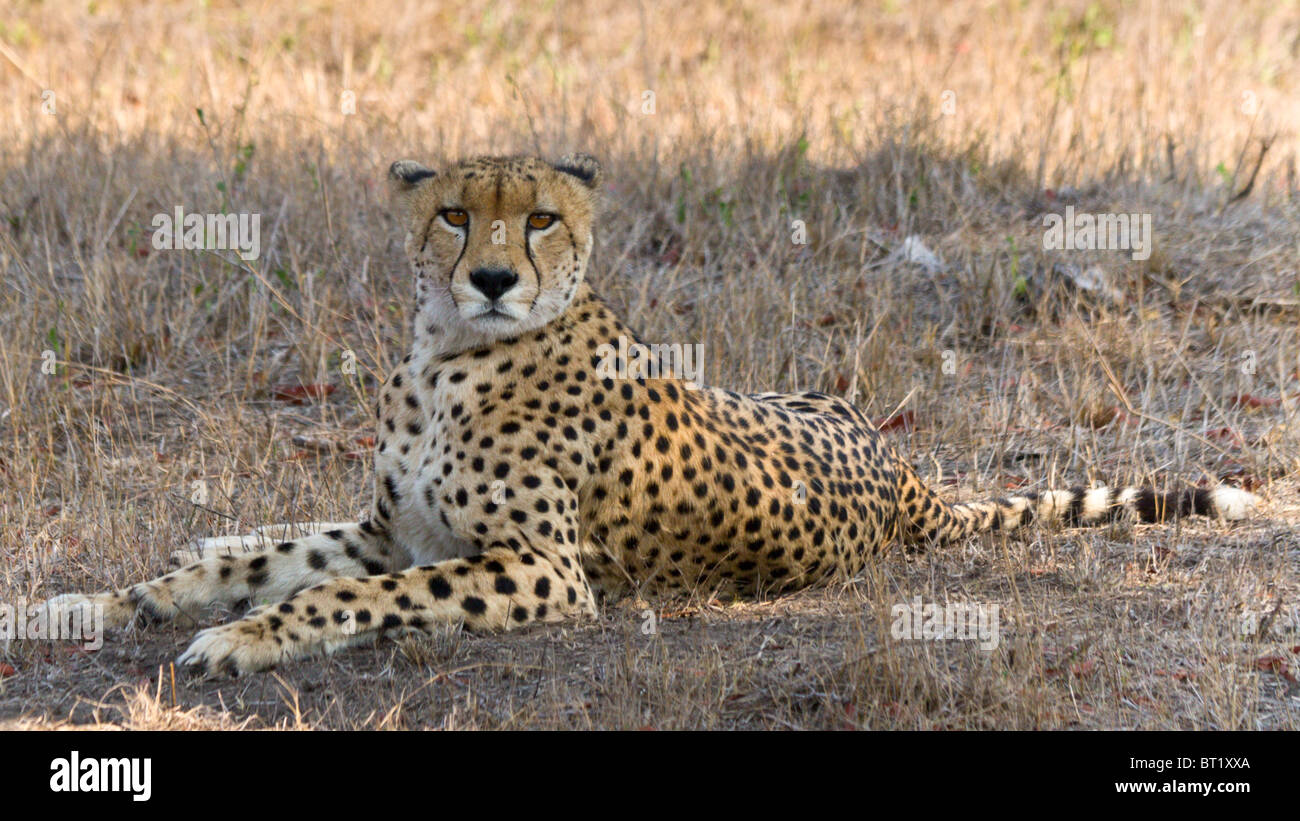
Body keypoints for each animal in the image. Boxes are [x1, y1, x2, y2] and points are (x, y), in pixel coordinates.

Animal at [43, 153, 1258, 675]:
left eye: (539, 217)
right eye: (454, 214)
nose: (492, 278)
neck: (446, 357)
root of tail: (902, 472)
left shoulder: (543, 571)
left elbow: (347, 593)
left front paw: (245, 638)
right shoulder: (394, 529)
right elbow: (252, 558)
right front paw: (102, 599)